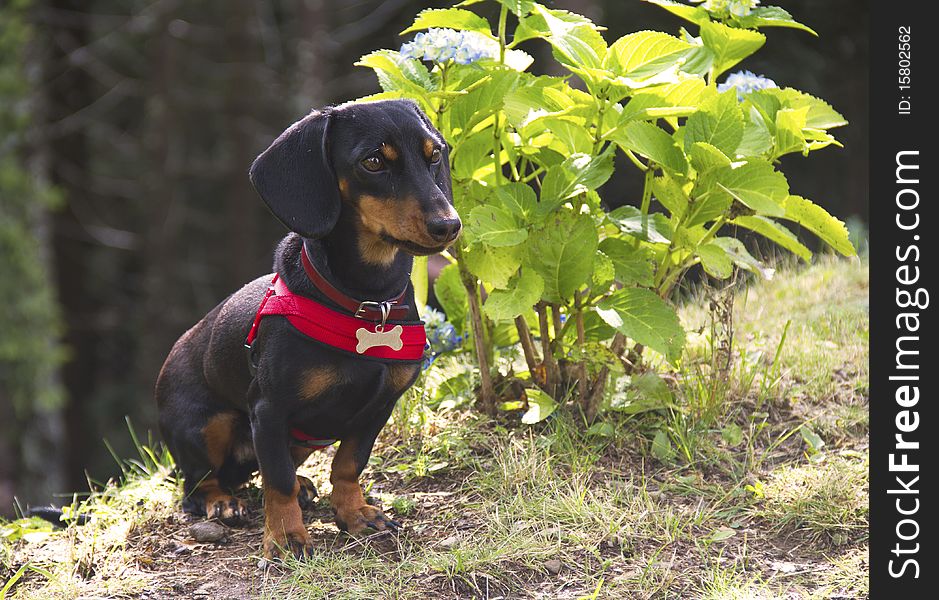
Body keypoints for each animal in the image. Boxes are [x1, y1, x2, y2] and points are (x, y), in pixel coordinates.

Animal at [155, 98, 462, 556]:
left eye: (435, 155)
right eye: (373, 162)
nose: (449, 225)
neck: (366, 302)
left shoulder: (380, 406)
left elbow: (349, 465)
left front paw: (355, 515)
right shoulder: (268, 409)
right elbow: (277, 481)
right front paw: (285, 538)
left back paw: (300, 486)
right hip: (208, 425)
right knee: (200, 483)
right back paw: (223, 502)